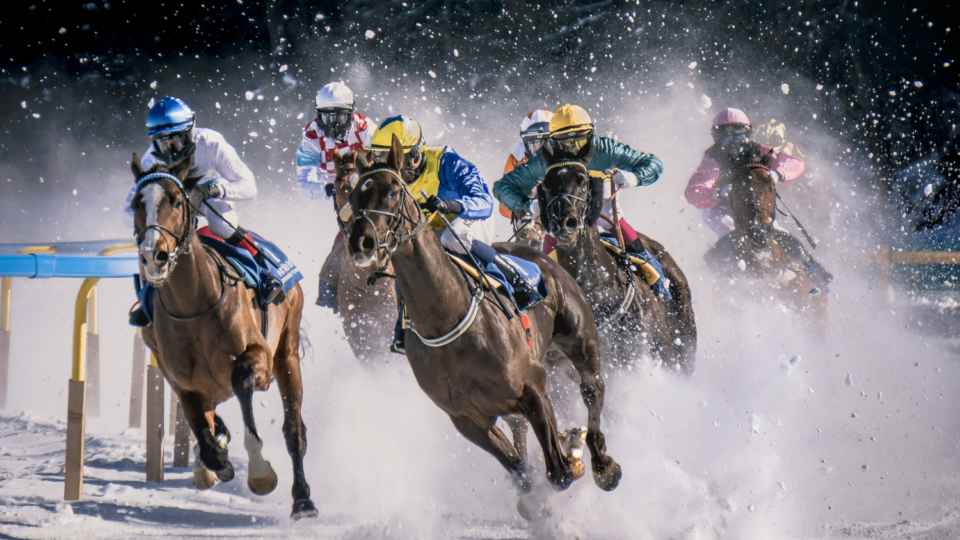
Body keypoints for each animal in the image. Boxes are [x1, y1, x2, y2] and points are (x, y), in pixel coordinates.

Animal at [129, 153, 316, 520]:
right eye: (135, 204)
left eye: (176, 200)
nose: (152, 255)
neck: (193, 306)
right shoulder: (182, 383)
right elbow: (205, 438)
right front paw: (215, 461)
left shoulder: (259, 358)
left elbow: (242, 381)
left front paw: (260, 473)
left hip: (287, 352)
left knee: (294, 430)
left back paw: (302, 500)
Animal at [344, 134, 624, 516]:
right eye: (355, 196)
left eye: (392, 191)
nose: (361, 243)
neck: (447, 320)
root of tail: (541, 252)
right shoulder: (467, 419)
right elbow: (521, 471)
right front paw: (536, 499)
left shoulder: (532, 386)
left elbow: (559, 470)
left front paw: (573, 452)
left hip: (581, 341)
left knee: (593, 390)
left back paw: (601, 461)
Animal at [540, 140, 696, 376]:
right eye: (546, 184)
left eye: (582, 180)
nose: (564, 223)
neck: (598, 290)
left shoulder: (657, 351)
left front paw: (624, 176)